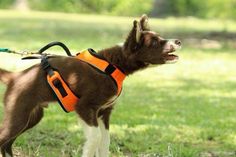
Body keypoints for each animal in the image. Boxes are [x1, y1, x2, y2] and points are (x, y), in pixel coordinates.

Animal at [0, 15, 182, 157]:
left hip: (32, 116)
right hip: (19, 114)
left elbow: (105, 142)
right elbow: (95, 138)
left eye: (160, 37)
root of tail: (14, 76)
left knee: (6, 144)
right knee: (4, 138)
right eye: (155, 42)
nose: (178, 41)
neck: (114, 64)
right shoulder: (85, 107)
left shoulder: (104, 112)